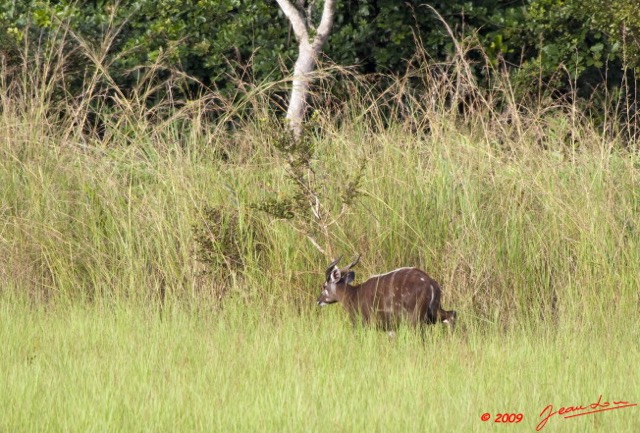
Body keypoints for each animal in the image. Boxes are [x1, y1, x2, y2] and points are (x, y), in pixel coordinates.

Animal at [316, 255, 456, 330]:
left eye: (324, 286)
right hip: (434, 311)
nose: (318, 300)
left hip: (415, 318)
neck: (353, 295)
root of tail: (431, 283)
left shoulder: (362, 323)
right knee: (452, 314)